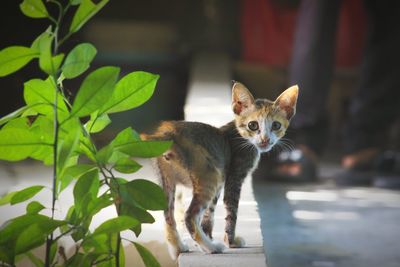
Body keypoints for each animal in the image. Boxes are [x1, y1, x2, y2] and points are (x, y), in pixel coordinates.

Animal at [142, 82, 298, 260]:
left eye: (276, 125)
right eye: (253, 125)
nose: (265, 140)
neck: (240, 135)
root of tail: (169, 132)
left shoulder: (221, 180)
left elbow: (209, 213)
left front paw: (209, 234)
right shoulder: (234, 177)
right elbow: (232, 212)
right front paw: (231, 242)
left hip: (168, 180)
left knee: (168, 215)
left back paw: (179, 247)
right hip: (209, 175)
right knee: (189, 216)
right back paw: (211, 247)